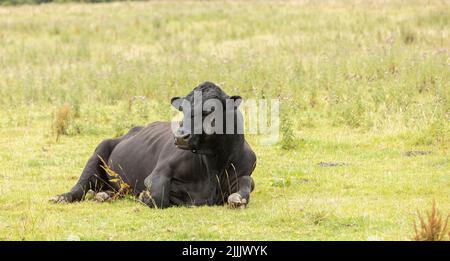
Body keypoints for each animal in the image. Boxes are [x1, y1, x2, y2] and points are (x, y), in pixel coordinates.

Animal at [50, 82, 255, 208]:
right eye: (182, 108)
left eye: (210, 109)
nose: (180, 137)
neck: (213, 166)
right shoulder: (158, 173)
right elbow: (158, 195)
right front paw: (144, 196)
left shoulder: (244, 172)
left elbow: (247, 182)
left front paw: (238, 199)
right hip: (97, 154)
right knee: (80, 186)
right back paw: (62, 197)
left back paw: (104, 195)